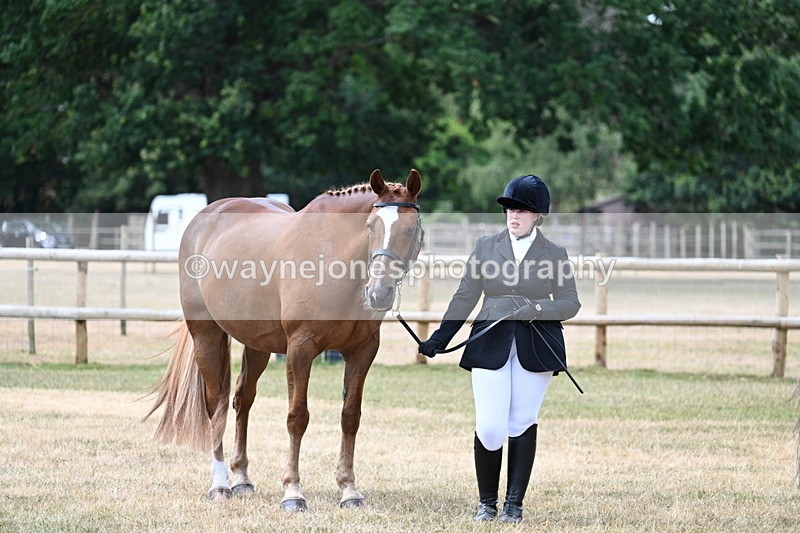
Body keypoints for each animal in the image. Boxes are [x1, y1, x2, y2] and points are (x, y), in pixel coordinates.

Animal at [145, 169, 423, 511]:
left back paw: (242, 479)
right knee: (215, 405)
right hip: (206, 335)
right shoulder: (300, 348)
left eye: (411, 229)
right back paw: (220, 484)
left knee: (242, 399)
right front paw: (293, 492)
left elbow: (350, 417)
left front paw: (349, 490)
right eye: (371, 226)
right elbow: (296, 417)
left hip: (257, 345)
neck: (332, 257)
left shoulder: (362, 351)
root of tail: (205, 217)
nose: (378, 294)